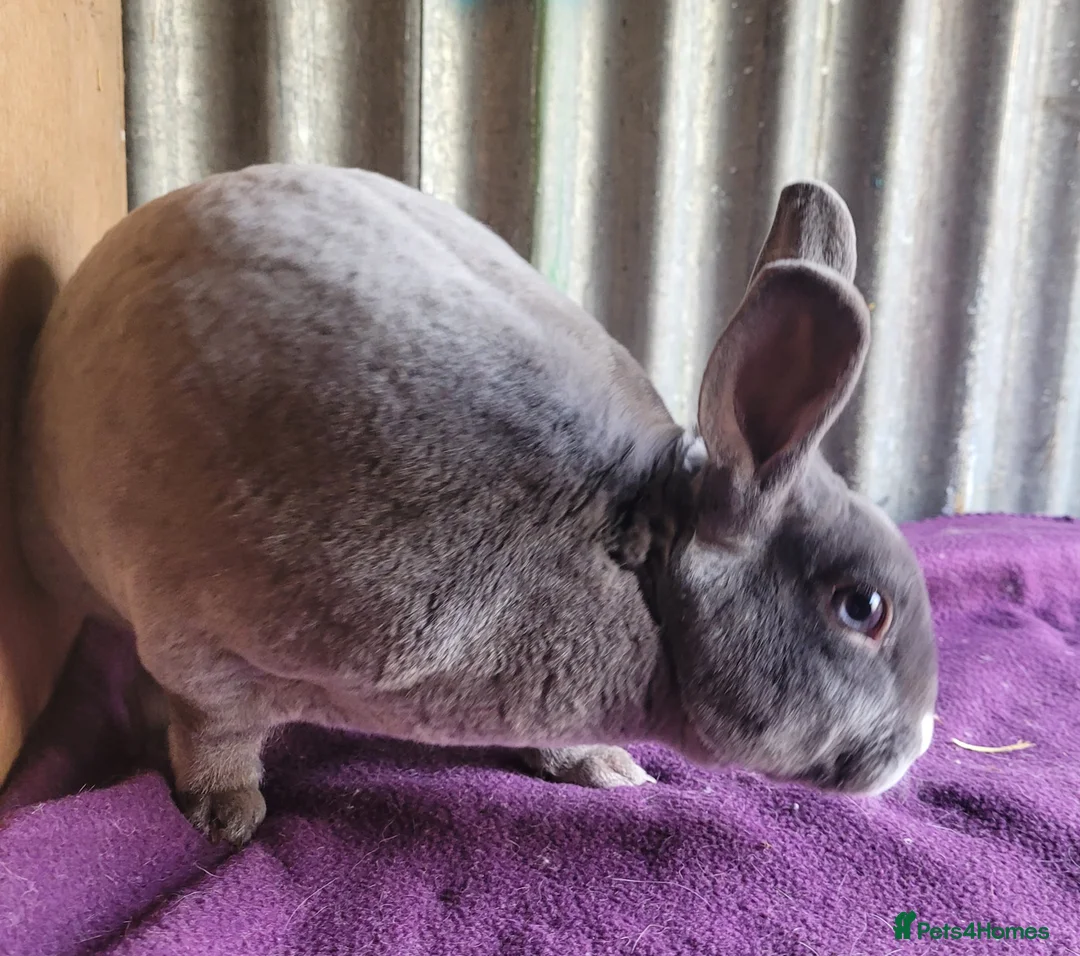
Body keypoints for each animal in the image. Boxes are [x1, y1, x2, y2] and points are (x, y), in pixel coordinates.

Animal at [14, 164, 938, 845]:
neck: (633, 564)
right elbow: (216, 734)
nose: (919, 741)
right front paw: (224, 816)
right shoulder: (208, 648)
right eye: (862, 607)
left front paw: (604, 769)